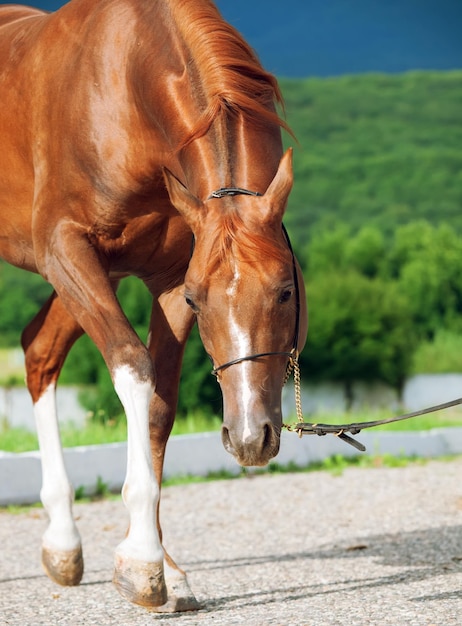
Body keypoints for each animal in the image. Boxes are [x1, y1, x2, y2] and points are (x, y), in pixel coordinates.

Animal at [2, 0, 306, 612]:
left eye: (285, 289)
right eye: (198, 297)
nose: (249, 437)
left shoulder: (163, 276)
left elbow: (160, 409)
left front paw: (162, 567)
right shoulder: (65, 247)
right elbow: (132, 368)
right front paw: (144, 561)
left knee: (38, 350)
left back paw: (62, 543)